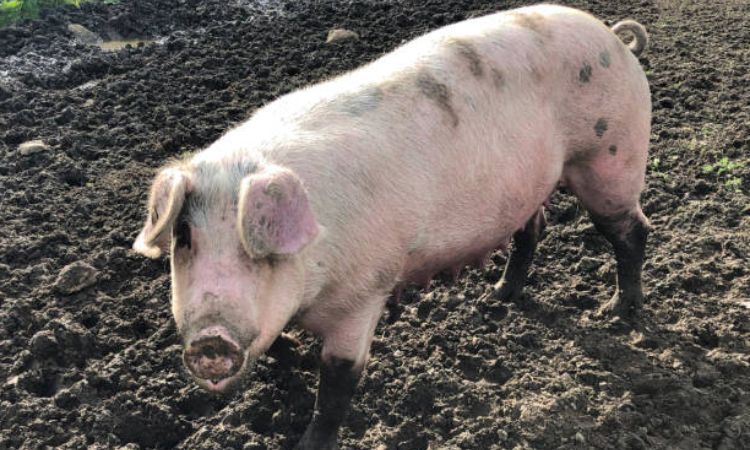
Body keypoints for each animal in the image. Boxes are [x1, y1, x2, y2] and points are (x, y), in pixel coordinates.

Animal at [133, 4, 651, 449]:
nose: (209, 340)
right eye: (184, 238)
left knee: (633, 230)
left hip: (610, 159)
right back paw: (499, 296)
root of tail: (615, 38)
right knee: (533, 227)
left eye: (258, 249)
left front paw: (309, 443)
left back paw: (615, 312)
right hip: (533, 186)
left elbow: (337, 380)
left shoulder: (366, 290)